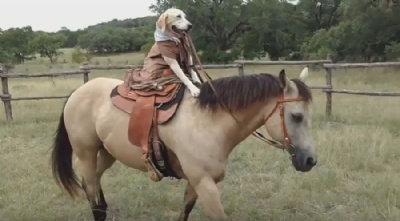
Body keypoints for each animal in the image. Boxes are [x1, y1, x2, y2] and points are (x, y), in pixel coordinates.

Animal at [50, 67, 318, 221]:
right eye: (296, 116)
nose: (310, 160)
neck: (209, 123)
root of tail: (78, 91)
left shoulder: (195, 182)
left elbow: (184, 212)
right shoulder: (204, 183)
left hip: (107, 153)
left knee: (93, 186)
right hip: (86, 153)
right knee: (92, 194)